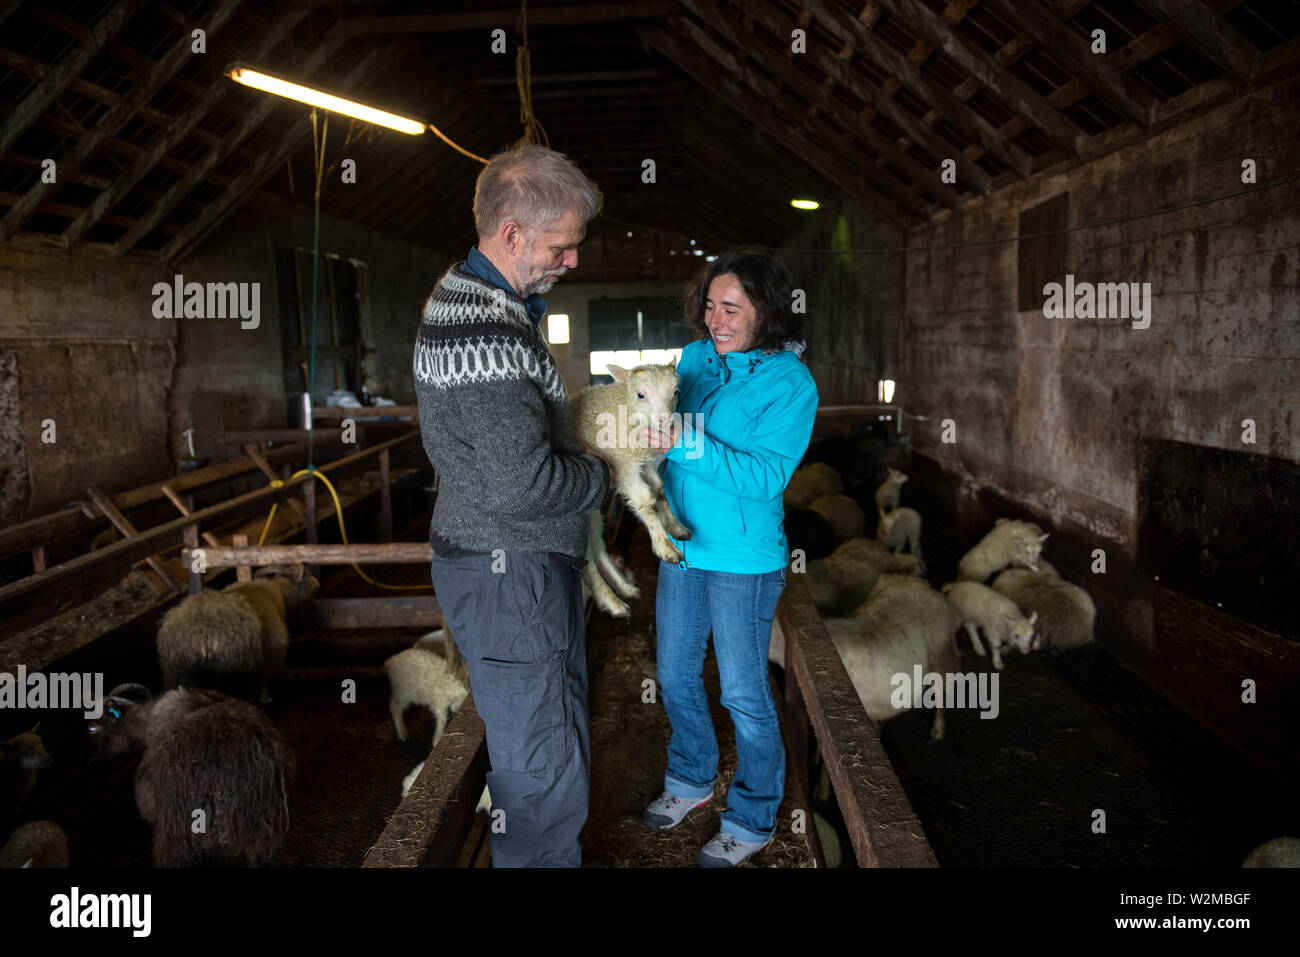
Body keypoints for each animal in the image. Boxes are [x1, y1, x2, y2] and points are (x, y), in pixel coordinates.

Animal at [157, 561, 319, 702]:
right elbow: (262, 677)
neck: (277, 592)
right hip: (232, 669)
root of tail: (199, 633)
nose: (316, 584)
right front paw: (266, 697)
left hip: (178, 673)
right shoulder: (270, 649)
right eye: (307, 575)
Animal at [569, 361, 691, 616]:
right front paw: (665, 547)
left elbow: (660, 490)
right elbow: (646, 501)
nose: (665, 420)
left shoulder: (643, 463)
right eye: (640, 395)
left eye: (676, 391)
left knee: (596, 541)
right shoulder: (624, 466)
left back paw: (623, 587)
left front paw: (675, 527)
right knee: (585, 554)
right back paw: (611, 601)